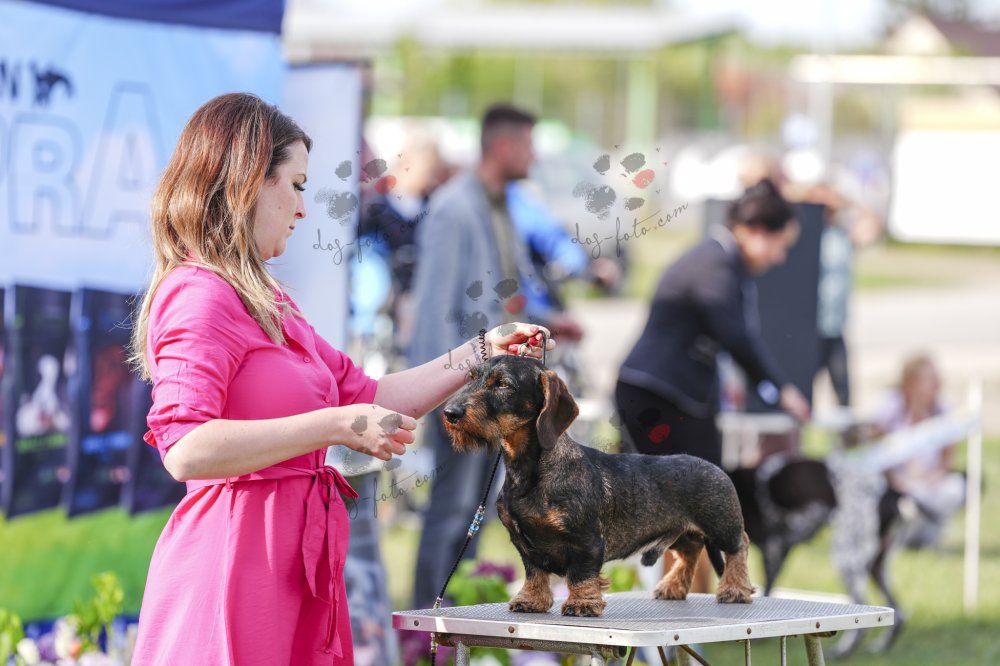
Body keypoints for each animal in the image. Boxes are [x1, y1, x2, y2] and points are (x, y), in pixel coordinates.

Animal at [442, 356, 754, 617]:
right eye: (472, 377)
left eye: (503, 384)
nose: (449, 413)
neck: (529, 473)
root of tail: (713, 465)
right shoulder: (524, 543)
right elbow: (534, 573)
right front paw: (531, 600)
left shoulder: (587, 541)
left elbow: (581, 574)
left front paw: (582, 603)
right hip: (680, 532)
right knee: (690, 553)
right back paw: (673, 586)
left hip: (721, 525)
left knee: (739, 546)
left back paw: (735, 589)